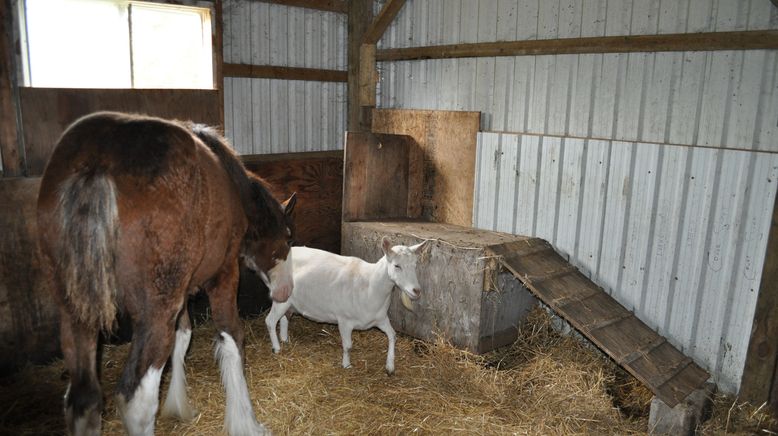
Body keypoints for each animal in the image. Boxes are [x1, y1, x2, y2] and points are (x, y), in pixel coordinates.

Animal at [34, 112, 294, 436]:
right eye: (288, 238)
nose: (285, 291)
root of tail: (98, 161)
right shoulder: (223, 275)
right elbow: (232, 338)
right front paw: (246, 423)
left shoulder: (181, 294)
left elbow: (182, 338)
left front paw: (178, 406)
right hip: (154, 310)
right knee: (137, 400)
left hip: (76, 314)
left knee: (83, 401)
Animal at [266, 237, 424, 372]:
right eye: (397, 266)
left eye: (415, 265)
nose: (416, 291)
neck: (370, 284)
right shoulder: (344, 320)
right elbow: (348, 346)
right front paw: (346, 365)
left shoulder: (381, 319)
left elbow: (393, 336)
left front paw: (390, 366)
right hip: (281, 298)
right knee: (270, 321)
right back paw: (277, 348)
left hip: (288, 302)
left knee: (284, 318)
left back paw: (285, 339)